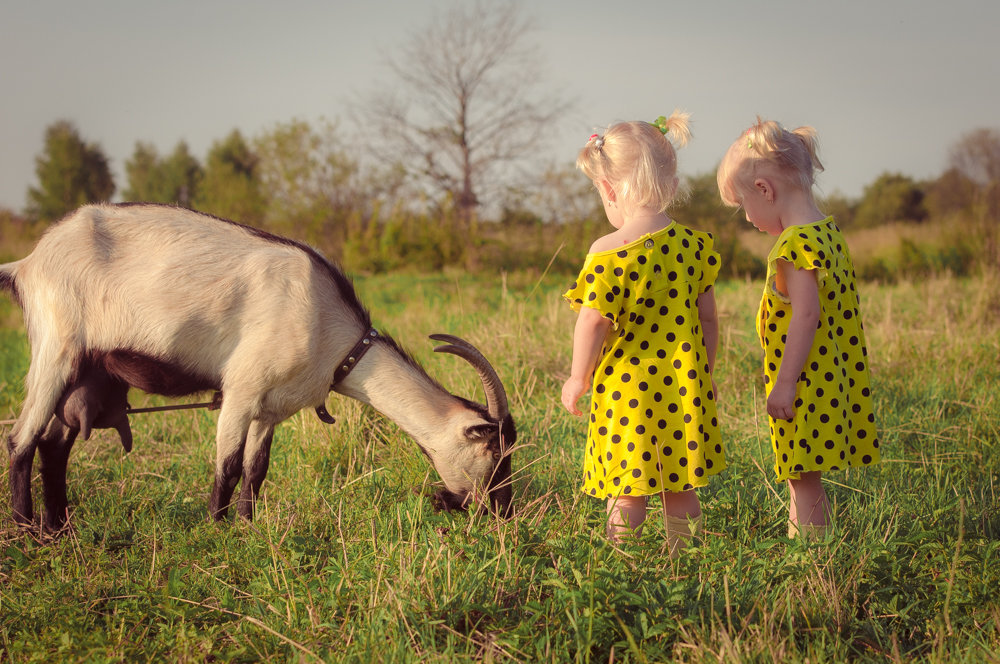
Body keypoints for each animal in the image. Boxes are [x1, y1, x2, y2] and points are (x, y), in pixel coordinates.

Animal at [0, 202, 516, 528]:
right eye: (494, 452)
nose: (502, 511)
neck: (332, 334)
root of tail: (26, 263)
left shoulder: (272, 408)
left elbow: (256, 469)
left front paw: (248, 525)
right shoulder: (241, 392)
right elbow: (227, 467)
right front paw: (216, 528)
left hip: (85, 370)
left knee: (54, 444)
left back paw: (59, 526)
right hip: (56, 348)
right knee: (21, 439)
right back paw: (28, 530)